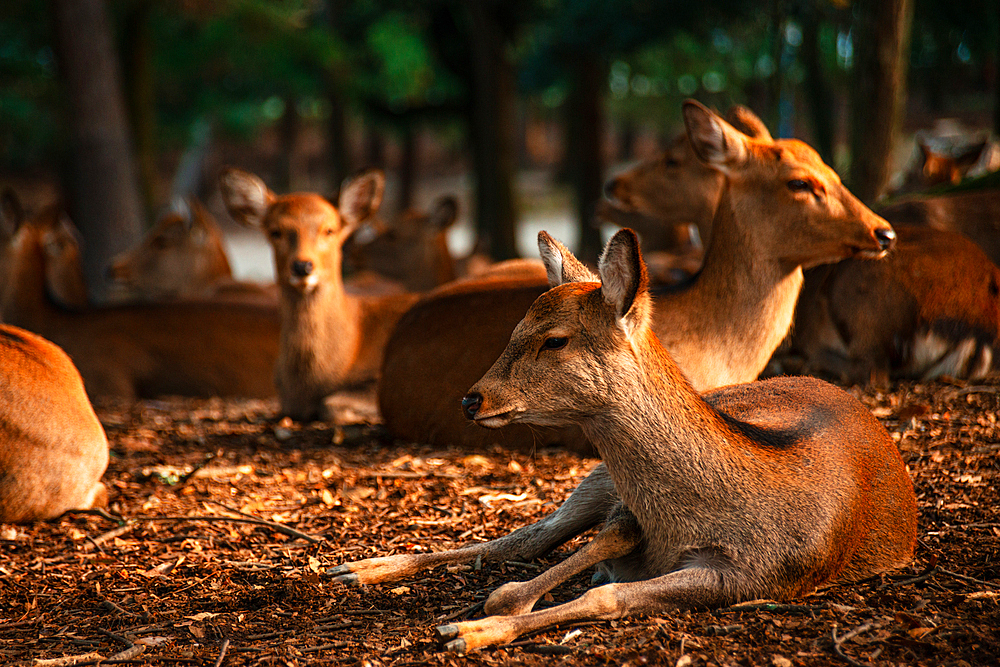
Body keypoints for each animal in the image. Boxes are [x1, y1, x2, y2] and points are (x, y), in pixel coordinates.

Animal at [332, 228, 916, 652]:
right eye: (514, 328)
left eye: (555, 340)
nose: (472, 399)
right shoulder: (630, 514)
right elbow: (587, 552)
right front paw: (491, 608)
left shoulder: (759, 577)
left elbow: (607, 595)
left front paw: (472, 630)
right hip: (596, 478)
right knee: (523, 537)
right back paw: (356, 568)